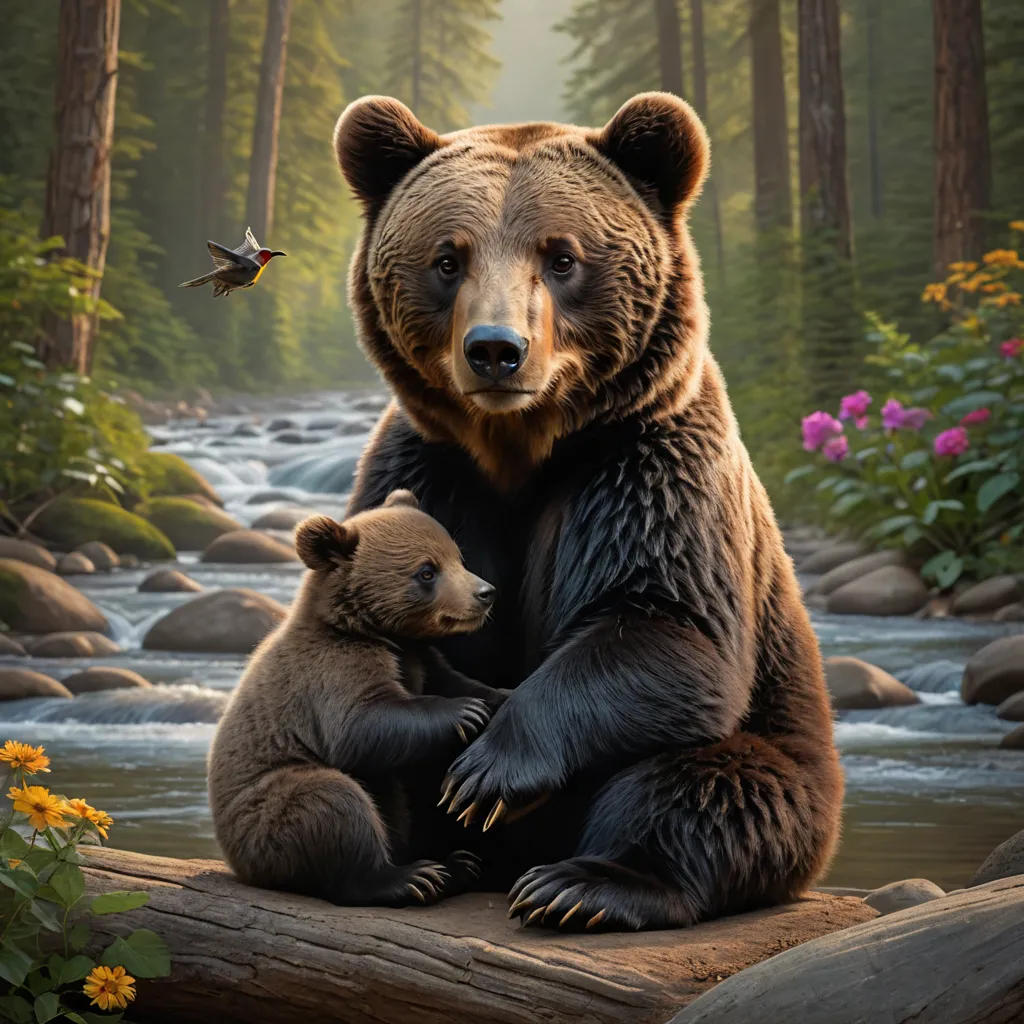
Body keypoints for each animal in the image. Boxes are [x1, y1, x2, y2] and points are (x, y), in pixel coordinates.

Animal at [207, 489, 506, 906]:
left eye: (458, 558)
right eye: (426, 571)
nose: (485, 594)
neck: (378, 632)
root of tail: (237, 865)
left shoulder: (420, 659)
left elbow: (457, 681)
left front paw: (502, 698)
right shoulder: (333, 666)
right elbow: (359, 723)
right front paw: (465, 713)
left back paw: (457, 864)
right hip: (262, 816)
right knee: (331, 803)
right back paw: (412, 876)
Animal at [332, 91, 843, 931]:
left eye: (561, 256)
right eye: (448, 258)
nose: (495, 350)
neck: (521, 450)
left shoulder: (647, 464)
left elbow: (664, 625)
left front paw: (487, 772)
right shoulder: (428, 470)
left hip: (792, 757)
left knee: (705, 785)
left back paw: (584, 884)